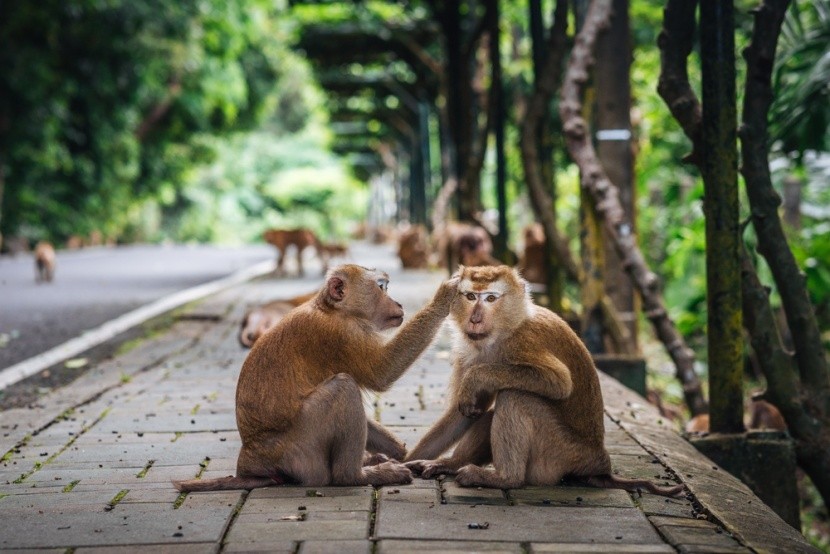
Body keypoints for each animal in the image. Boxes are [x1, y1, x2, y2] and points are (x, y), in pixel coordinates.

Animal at [173, 264, 459, 492]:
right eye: (381, 287)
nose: (398, 304)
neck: (332, 310)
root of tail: (251, 463)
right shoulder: (340, 335)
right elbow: (381, 372)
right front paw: (443, 297)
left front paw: (400, 450)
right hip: (300, 448)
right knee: (343, 387)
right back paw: (355, 476)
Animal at [404, 265, 684, 497]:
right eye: (471, 296)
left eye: (491, 298)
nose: (475, 319)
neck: (503, 331)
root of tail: (599, 462)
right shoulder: (471, 353)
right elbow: (467, 411)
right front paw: (412, 461)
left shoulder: (525, 341)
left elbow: (559, 381)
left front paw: (476, 378)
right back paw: (453, 465)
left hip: (560, 455)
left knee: (516, 396)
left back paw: (505, 478)